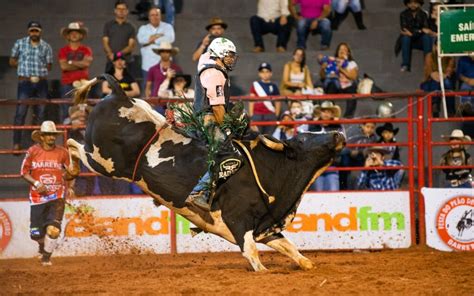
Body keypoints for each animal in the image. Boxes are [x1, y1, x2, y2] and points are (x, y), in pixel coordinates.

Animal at [67, 75, 344, 272]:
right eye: (304, 138)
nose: (338, 133)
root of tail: (120, 96)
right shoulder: (237, 221)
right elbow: (252, 253)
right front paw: (264, 270)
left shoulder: (265, 226)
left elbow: (290, 248)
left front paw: (307, 263)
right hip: (101, 161)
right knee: (72, 145)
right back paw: (68, 171)